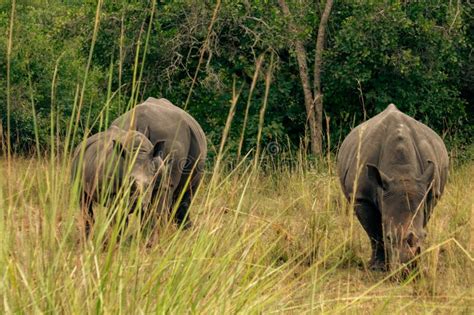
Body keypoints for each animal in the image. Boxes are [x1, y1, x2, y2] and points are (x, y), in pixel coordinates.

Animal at [336, 104, 448, 272]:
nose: (408, 268)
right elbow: (374, 233)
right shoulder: (361, 197)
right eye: (389, 237)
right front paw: (378, 267)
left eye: (425, 236)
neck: (401, 173)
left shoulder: (430, 193)